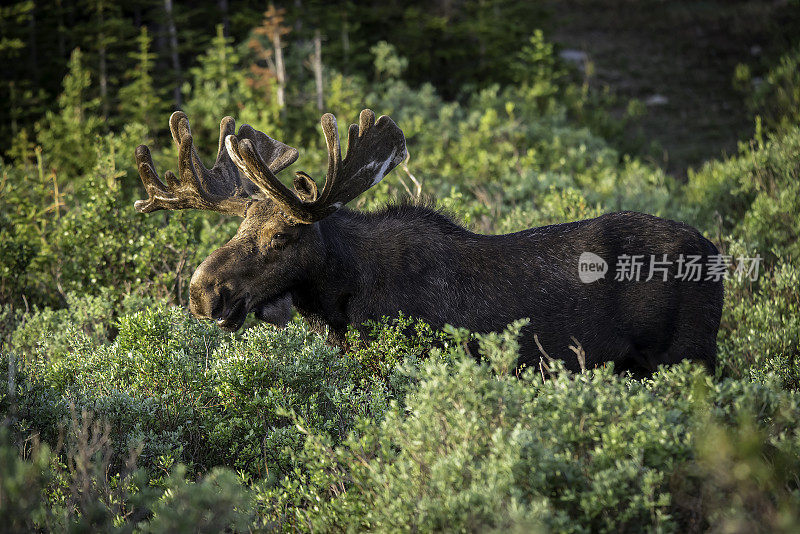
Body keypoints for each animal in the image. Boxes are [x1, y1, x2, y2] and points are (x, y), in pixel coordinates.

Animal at [136, 109, 724, 376]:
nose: (202, 293)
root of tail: (715, 254)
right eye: (236, 228)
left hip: (690, 356)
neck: (338, 303)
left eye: (282, 234)